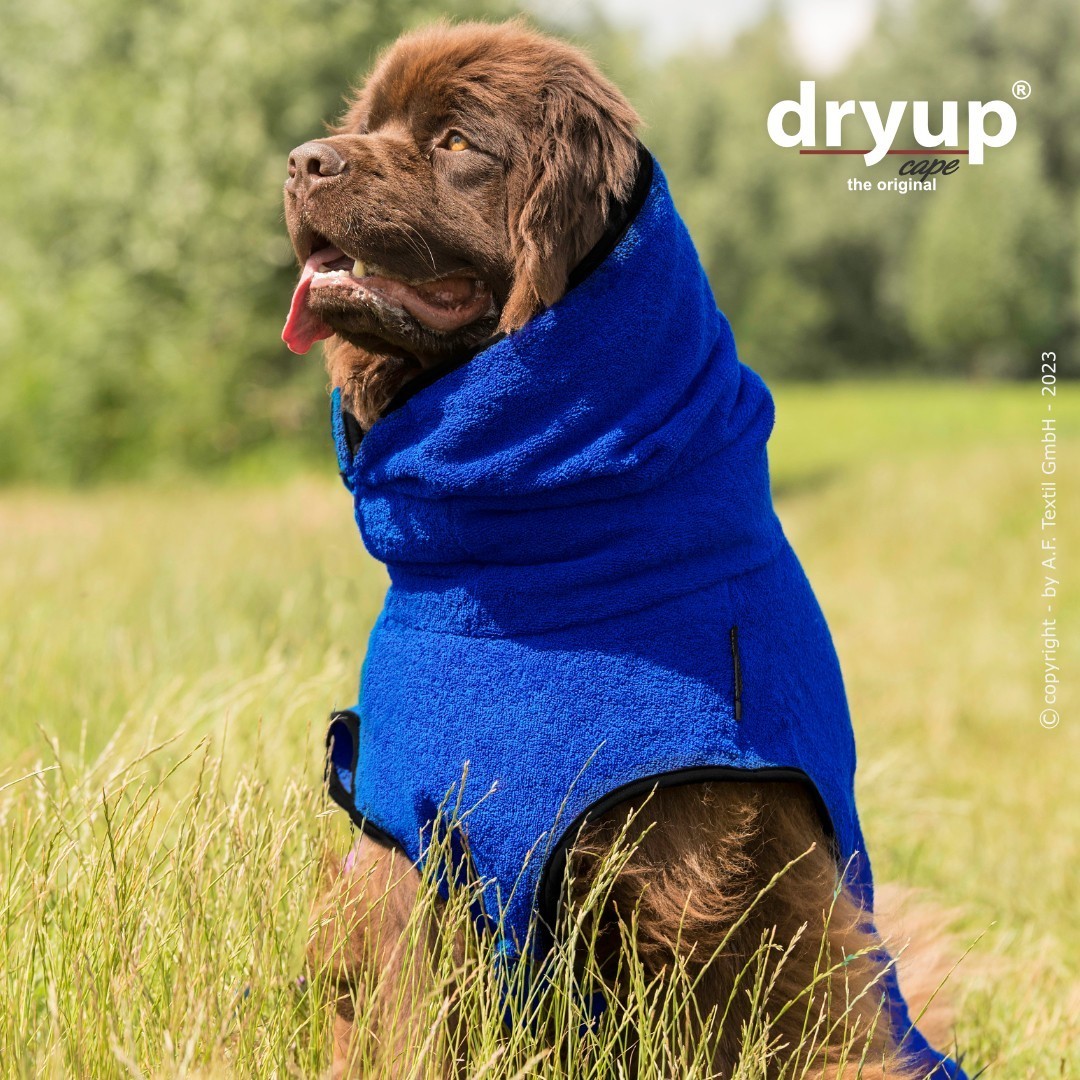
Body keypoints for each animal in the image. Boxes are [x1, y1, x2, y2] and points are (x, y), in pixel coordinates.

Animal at [283, 21, 967, 1079]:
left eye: (455, 142)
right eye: (369, 123)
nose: (303, 161)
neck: (533, 587)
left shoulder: (692, 860)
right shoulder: (408, 845)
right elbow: (410, 1021)